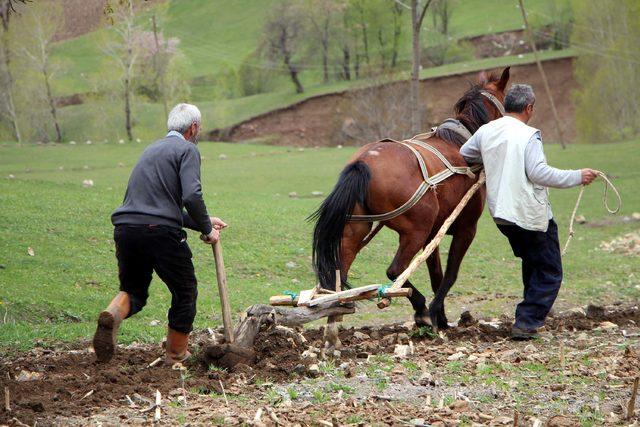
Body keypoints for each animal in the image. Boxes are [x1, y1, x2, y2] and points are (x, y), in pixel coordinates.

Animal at [310, 67, 510, 330]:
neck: (462, 142)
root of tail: (363, 162)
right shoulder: (466, 229)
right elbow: (450, 274)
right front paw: (436, 314)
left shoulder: (433, 235)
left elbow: (436, 276)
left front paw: (441, 318)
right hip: (415, 231)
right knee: (395, 271)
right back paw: (421, 309)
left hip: (356, 230)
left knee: (338, 279)